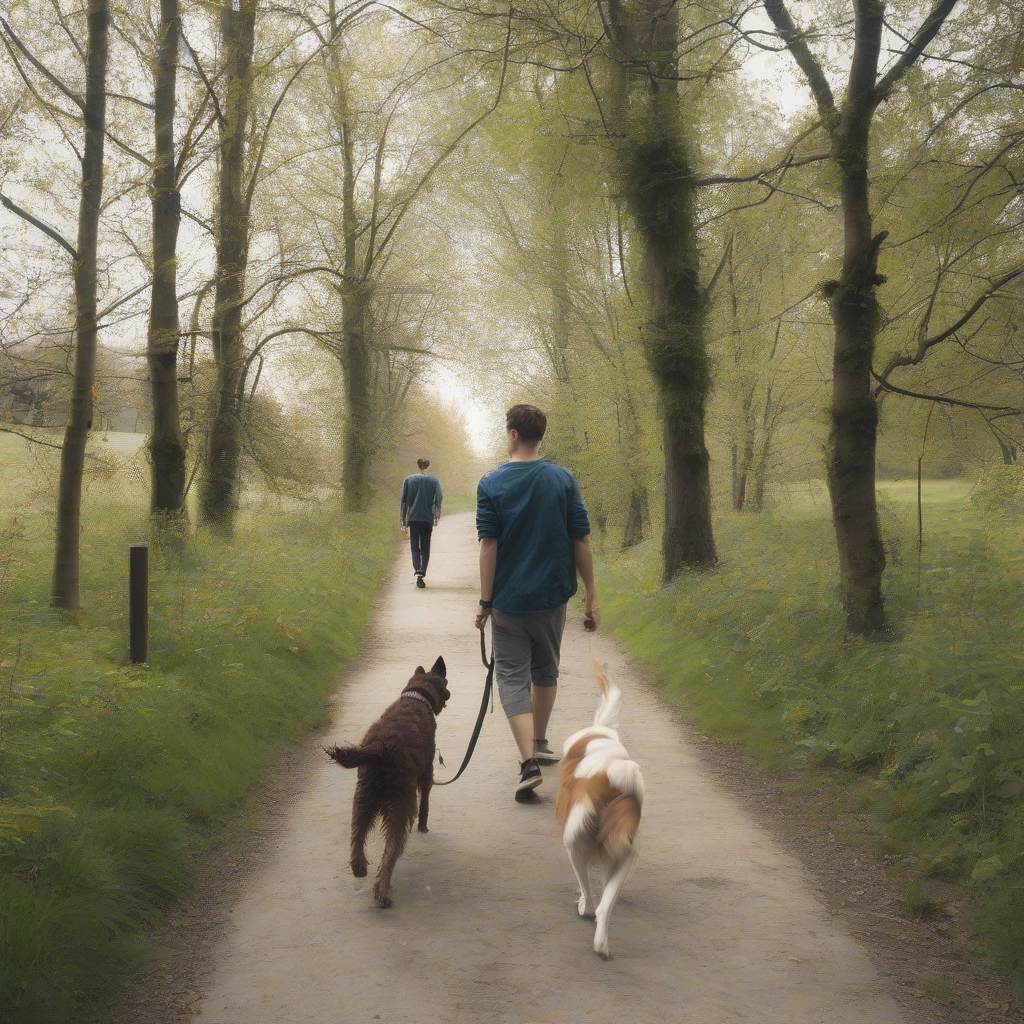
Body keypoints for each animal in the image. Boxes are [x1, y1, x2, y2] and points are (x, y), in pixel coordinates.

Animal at [323, 655, 444, 905]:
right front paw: (424, 827)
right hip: (401, 805)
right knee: (389, 853)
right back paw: (383, 894)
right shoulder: (428, 774)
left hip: (363, 798)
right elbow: (426, 805)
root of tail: (381, 749)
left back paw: (359, 868)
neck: (416, 696)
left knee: (357, 838)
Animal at [557, 659, 643, 954]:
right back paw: (602, 944)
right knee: (604, 907)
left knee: (590, 895)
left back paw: (585, 909)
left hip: (574, 843)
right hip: (624, 855)